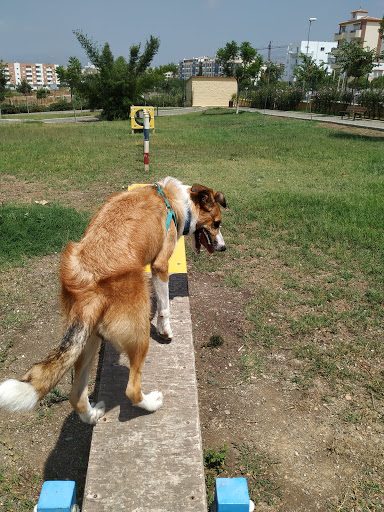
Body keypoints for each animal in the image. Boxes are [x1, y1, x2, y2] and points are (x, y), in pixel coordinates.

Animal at [0, 176, 225, 424]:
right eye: (217, 223)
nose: (223, 248)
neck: (174, 200)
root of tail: (88, 291)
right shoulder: (160, 265)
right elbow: (164, 306)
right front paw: (165, 329)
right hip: (138, 336)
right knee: (132, 389)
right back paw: (152, 403)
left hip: (88, 341)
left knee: (76, 396)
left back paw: (94, 414)